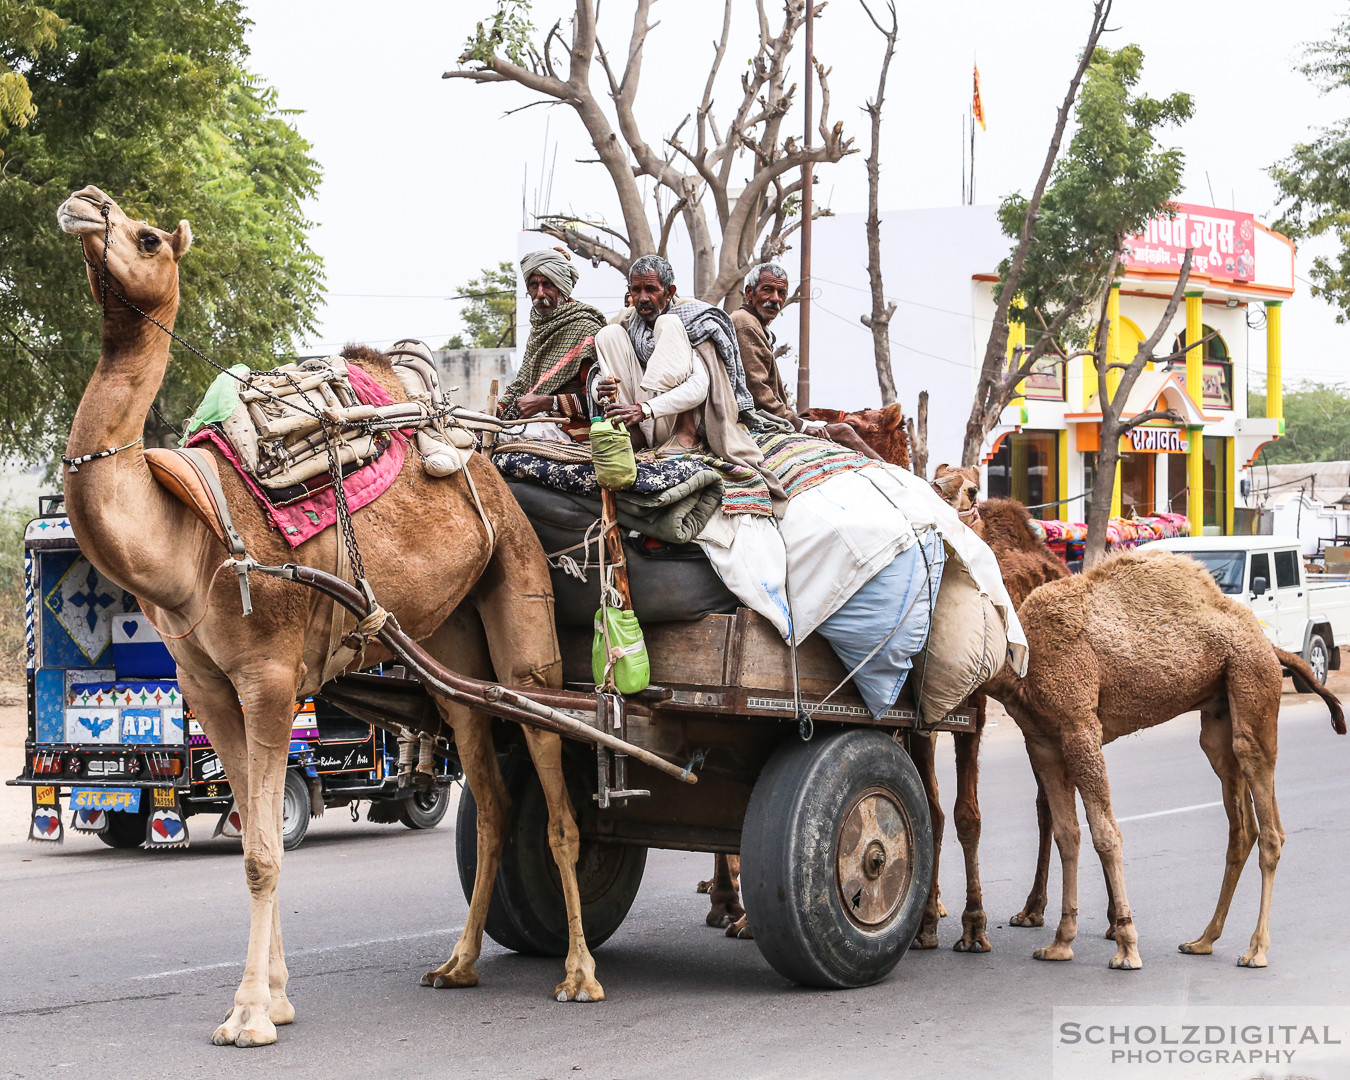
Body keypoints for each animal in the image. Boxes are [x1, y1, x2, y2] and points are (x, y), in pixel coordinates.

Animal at [56, 186, 596, 1047]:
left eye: (145, 237)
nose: (84, 202)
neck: (189, 538)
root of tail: (484, 454)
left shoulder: (271, 677)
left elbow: (262, 853)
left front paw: (248, 1015)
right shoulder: (208, 688)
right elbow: (255, 832)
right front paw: (275, 996)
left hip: (521, 589)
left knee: (553, 777)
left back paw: (579, 975)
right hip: (452, 646)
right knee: (489, 782)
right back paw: (457, 964)